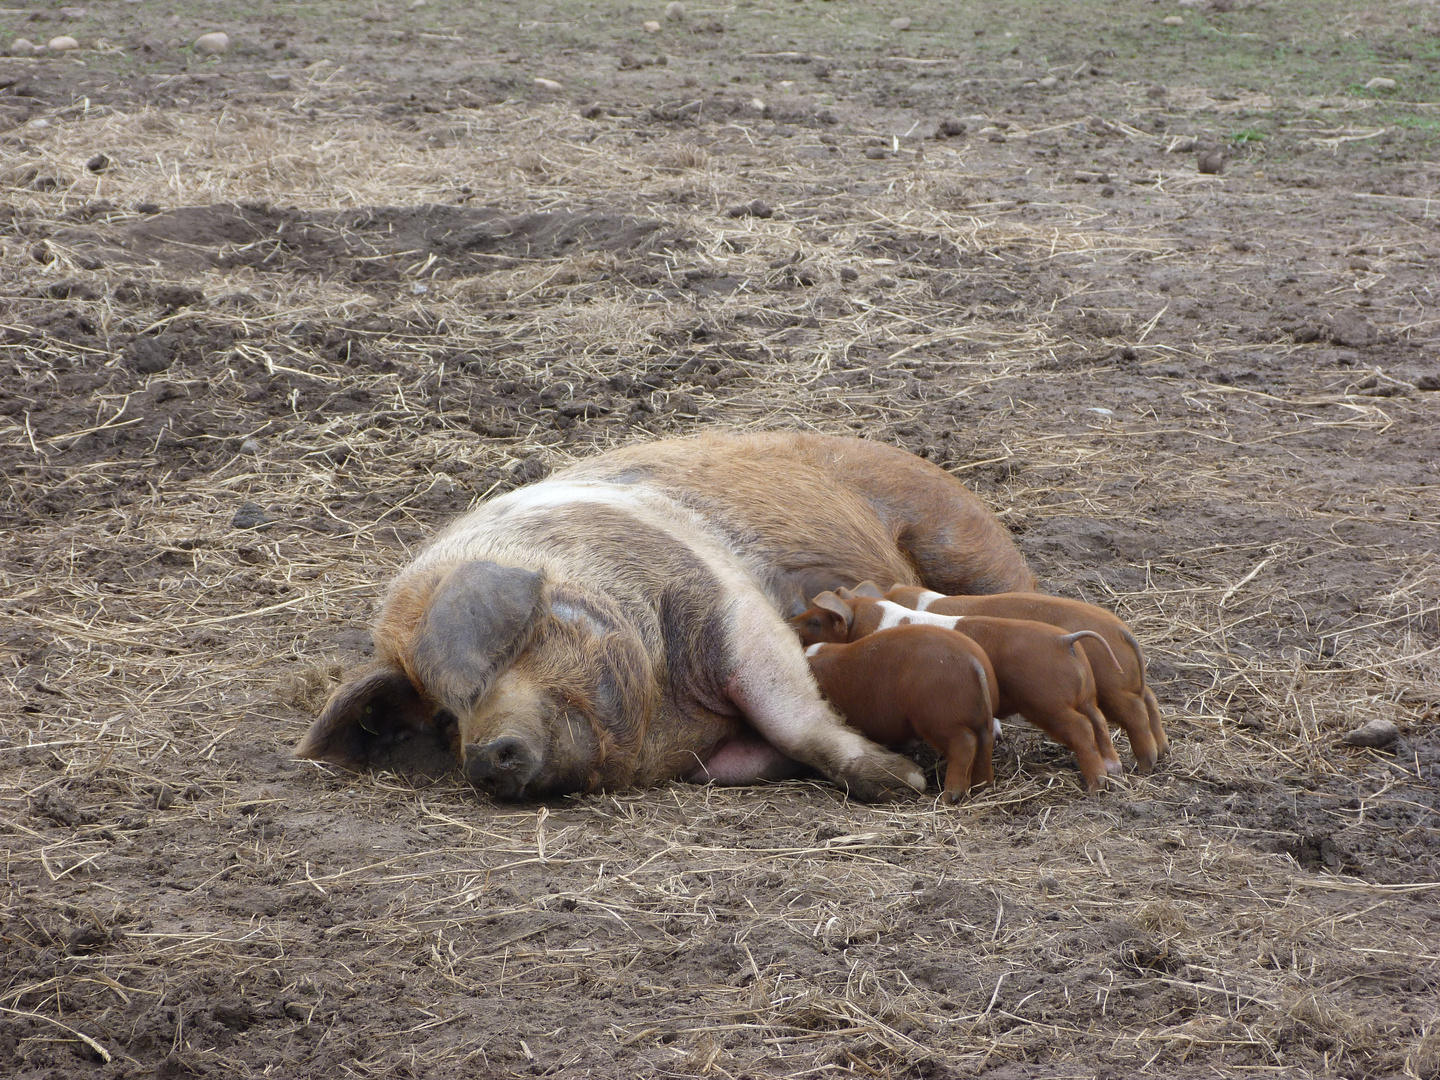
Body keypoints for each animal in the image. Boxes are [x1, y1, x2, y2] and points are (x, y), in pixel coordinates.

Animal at [298, 434, 1036, 806]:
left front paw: (905, 782)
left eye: (513, 655)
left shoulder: (729, 606)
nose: (482, 756)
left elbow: (795, 715)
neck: (663, 707)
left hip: (957, 530)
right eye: (445, 721)